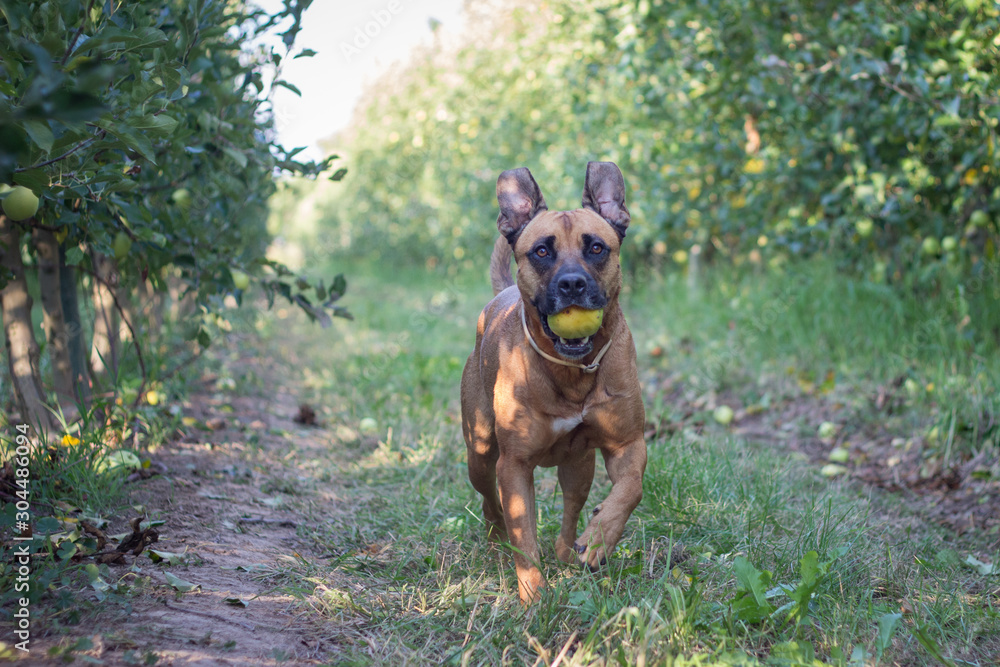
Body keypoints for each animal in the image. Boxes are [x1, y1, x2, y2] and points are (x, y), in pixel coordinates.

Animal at [460, 163, 648, 604]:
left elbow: (630, 489)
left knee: (571, 506)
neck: (571, 372)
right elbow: (523, 533)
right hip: (480, 451)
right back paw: (497, 540)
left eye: (596, 248)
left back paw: (569, 548)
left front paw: (599, 538)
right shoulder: (514, 464)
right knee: (490, 502)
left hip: (578, 464)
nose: (572, 284)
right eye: (542, 252)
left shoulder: (627, 443)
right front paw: (533, 595)